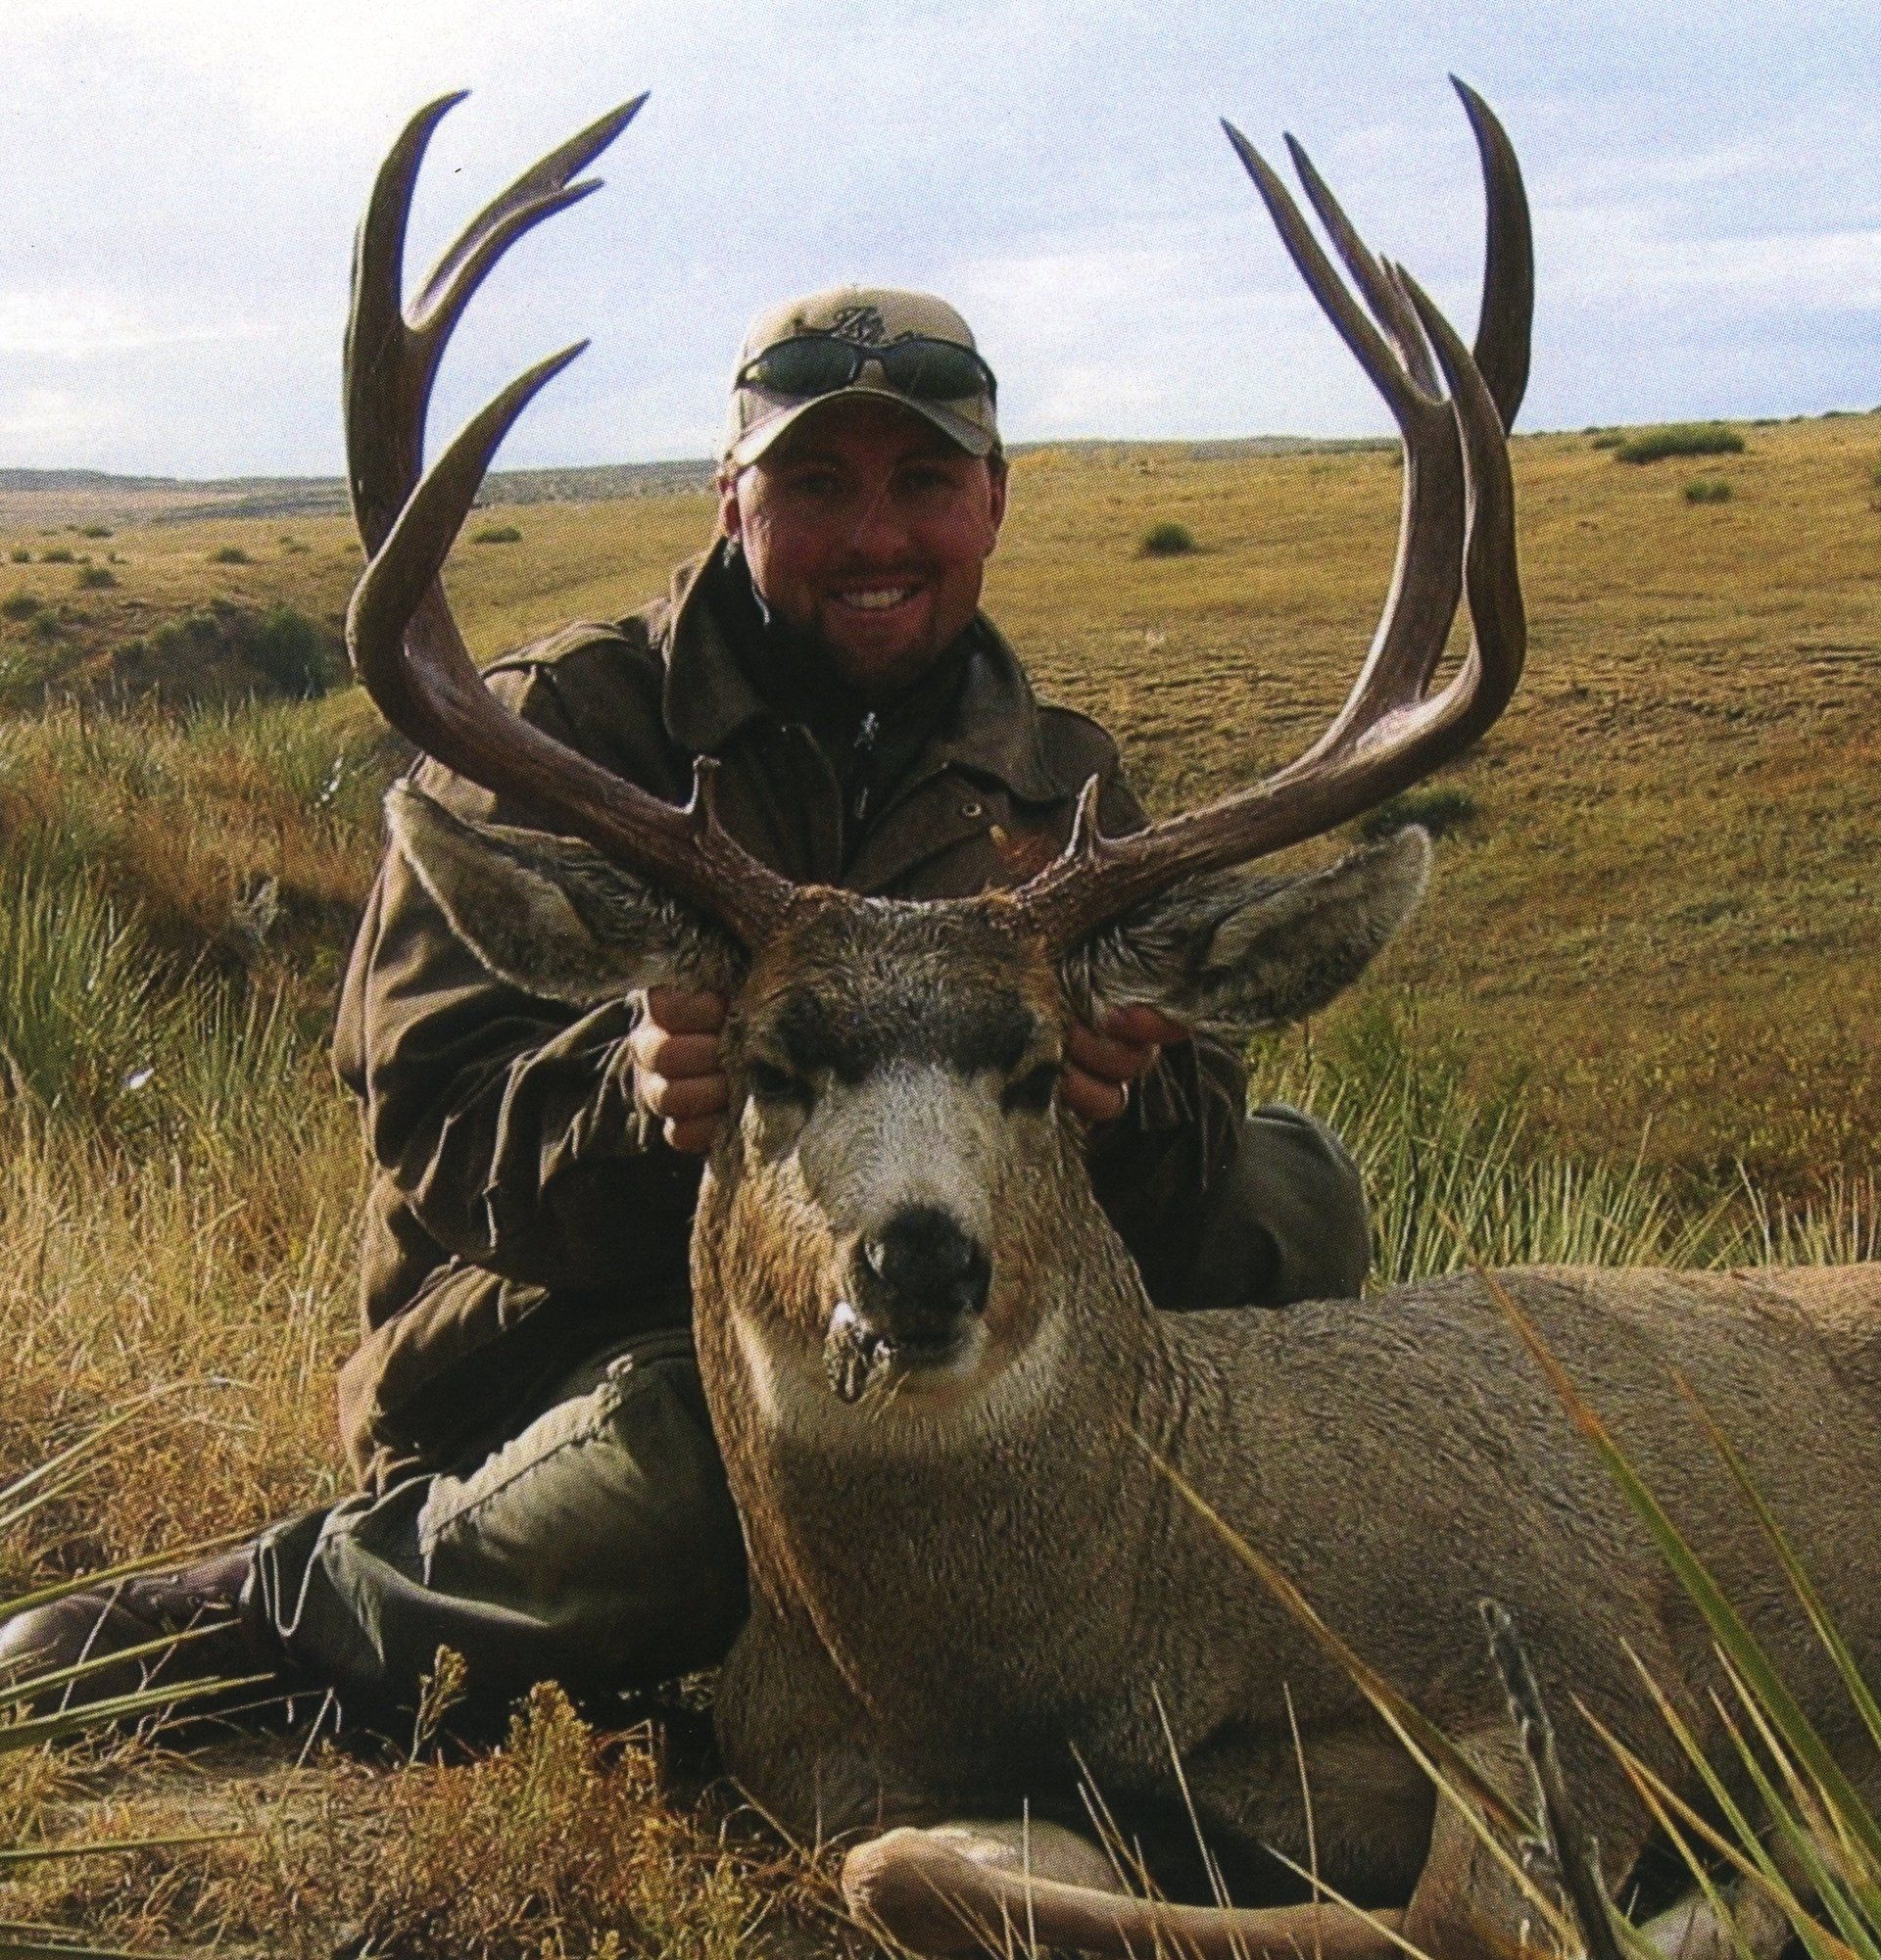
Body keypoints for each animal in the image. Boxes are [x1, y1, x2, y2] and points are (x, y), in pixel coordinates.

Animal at [339, 81, 1881, 1960]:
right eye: (771, 1064)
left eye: (1035, 1070)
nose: (920, 1259)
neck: (1131, 1599)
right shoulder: (812, 1762)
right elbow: (910, 1863)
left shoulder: (1588, 1630)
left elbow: (1449, 1914)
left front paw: (1736, 1888)